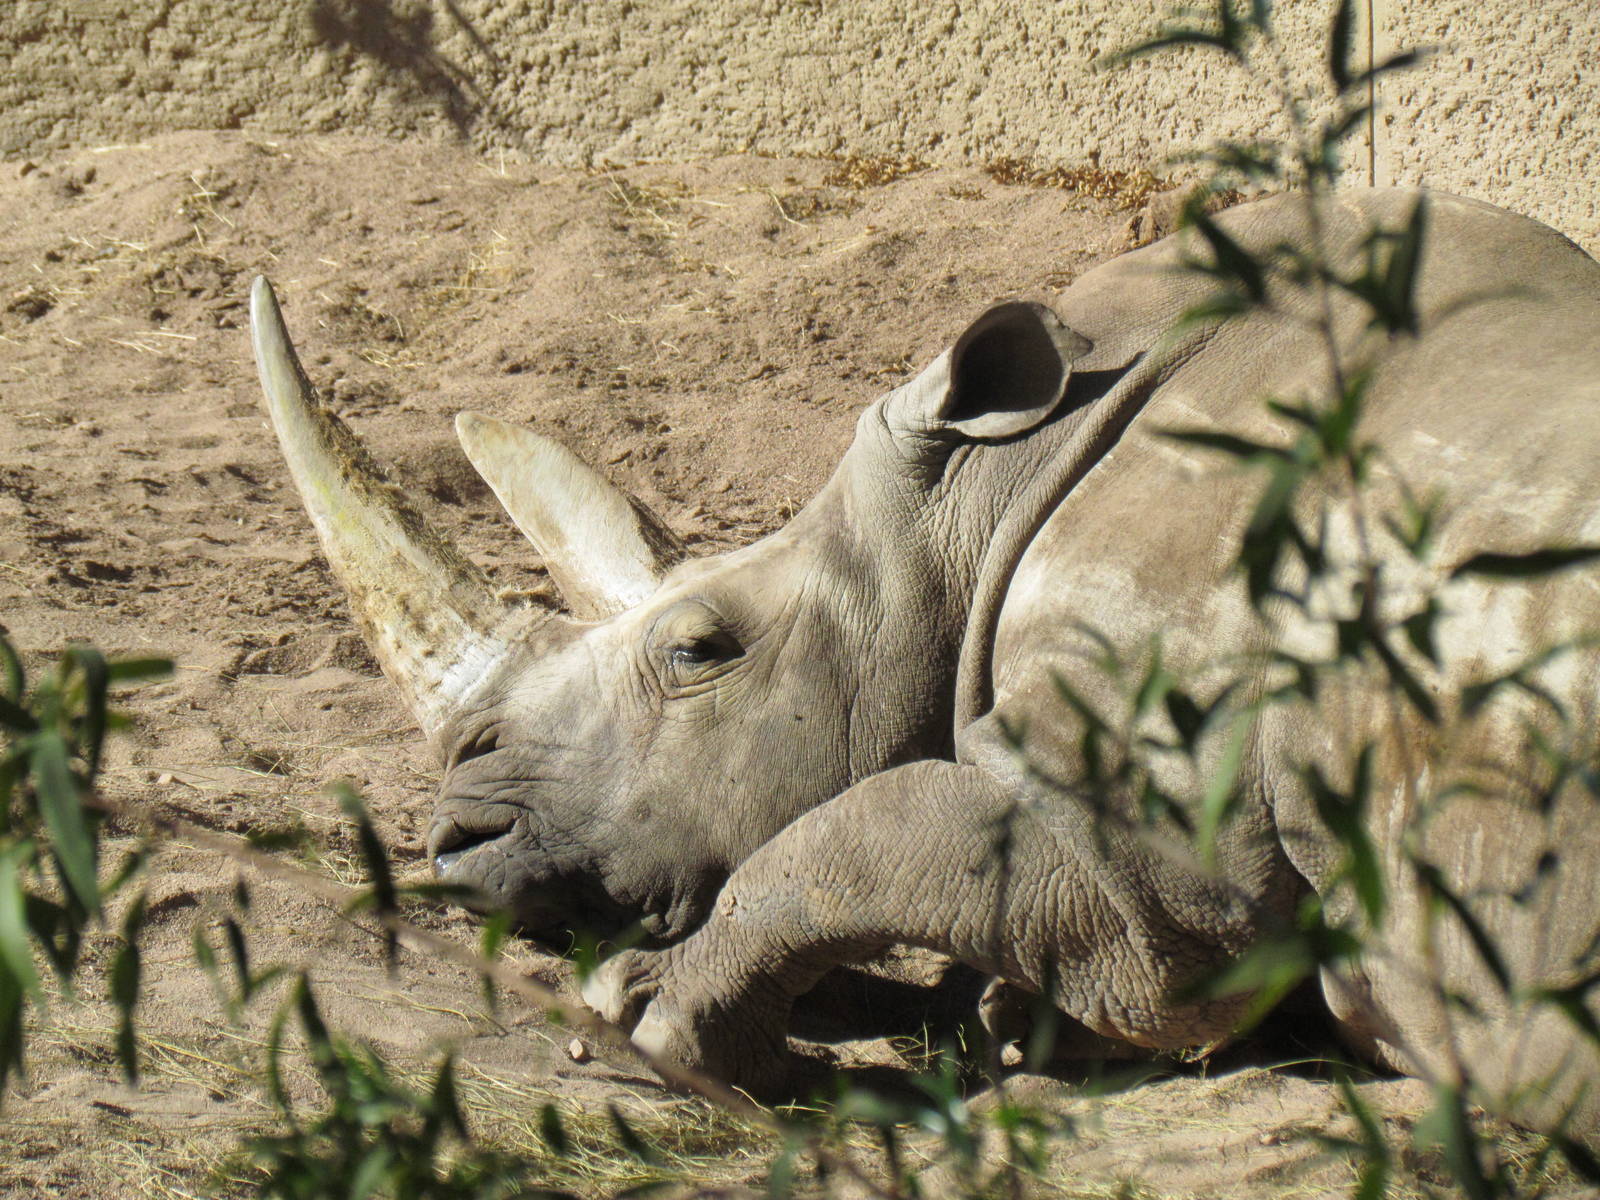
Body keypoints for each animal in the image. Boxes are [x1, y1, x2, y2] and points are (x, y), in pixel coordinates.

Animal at [251, 188, 1600, 1141]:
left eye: (697, 650)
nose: (459, 842)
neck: (979, 493)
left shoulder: (1153, 840)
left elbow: (869, 835)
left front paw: (645, 1011)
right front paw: (995, 1022)